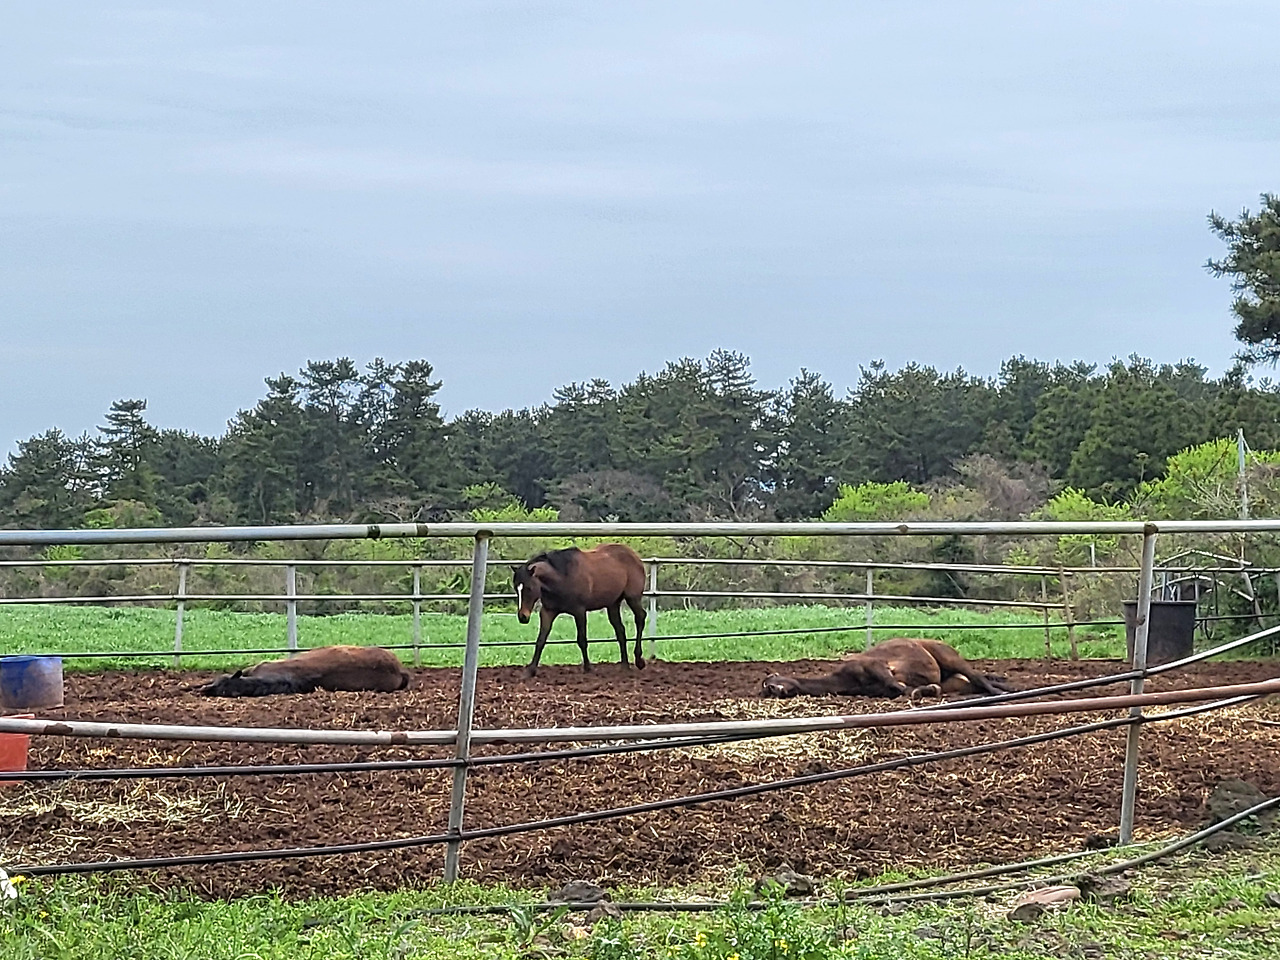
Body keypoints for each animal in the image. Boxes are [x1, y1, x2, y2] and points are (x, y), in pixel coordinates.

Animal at [513, 543, 647, 678]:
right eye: (516, 588)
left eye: (529, 588)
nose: (522, 616)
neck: (562, 577)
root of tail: (634, 556)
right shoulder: (547, 612)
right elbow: (541, 640)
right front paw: (530, 671)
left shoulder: (579, 612)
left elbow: (582, 640)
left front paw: (588, 668)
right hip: (613, 604)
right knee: (620, 631)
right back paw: (625, 666)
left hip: (632, 598)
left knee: (640, 618)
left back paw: (639, 660)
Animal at [760, 637, 1011, 700]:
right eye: (766, 688)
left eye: (772, 682)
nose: (776, 690)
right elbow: (906, 690)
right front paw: (925, 691)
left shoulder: (876, 666)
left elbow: (898, 686)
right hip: (955, 680)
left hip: (950, 659)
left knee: (979, 677)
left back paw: (1002, 692)